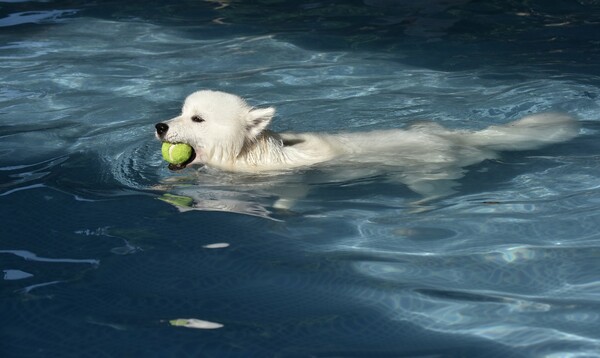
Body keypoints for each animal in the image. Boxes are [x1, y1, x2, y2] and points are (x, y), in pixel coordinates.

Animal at [157, 89, 580, 201]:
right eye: (182, 111)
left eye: (198, 119)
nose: (160, 126)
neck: (249, 155)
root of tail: (454, 136)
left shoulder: (284, 176)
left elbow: (293, 194)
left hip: (431, 165)